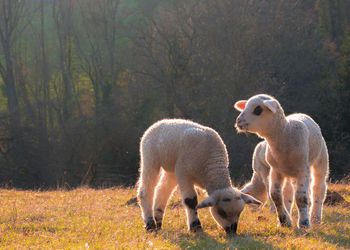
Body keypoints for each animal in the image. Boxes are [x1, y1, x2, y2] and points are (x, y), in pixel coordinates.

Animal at [235, 94, 328, 229]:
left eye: (258, 109)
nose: (238, 121)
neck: (284, 134)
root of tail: (300, 114)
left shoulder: (302, 168)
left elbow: (301, 197)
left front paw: (304, 223)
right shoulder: (275, 169)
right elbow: (276, 195)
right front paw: (284, 221)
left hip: (321, 159)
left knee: (318, 187)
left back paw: (315, 218)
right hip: (288, 172)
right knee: (287, 193)